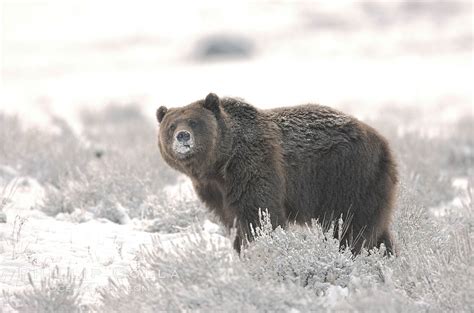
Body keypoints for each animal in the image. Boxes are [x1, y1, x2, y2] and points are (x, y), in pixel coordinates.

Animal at [156, 92, 396, 254]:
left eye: (194, 122)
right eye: (171, 125)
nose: (183, 136)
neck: (218, 164)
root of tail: (382, 141)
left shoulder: (252, 165)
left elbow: (259, 213)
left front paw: (258, 247)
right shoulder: (213, 189)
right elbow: (231, 218)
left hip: (347, 174)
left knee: (349, 224)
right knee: (375, 228)